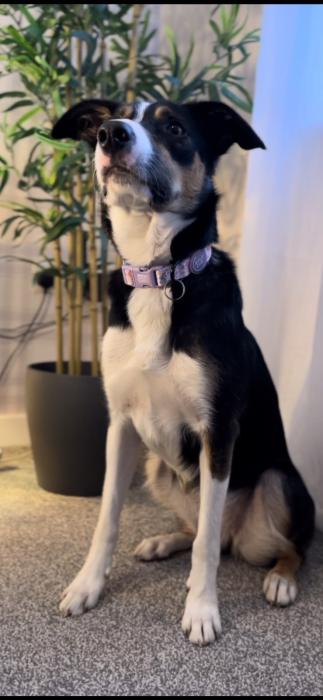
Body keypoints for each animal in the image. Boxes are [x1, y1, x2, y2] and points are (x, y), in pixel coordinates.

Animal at [53, 97, 316, 644]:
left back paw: (281, 579)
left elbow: (207, 546)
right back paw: (162, 541)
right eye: (104, 121)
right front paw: (87, 586)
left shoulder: (218, 430)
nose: (112, 134)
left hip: (279, 484)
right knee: (196, 528)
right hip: (157, 468)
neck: (159, 275)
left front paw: (201, 610)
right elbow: (107, 516)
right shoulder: (121, 424)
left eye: (173, 127)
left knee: (276, 543)